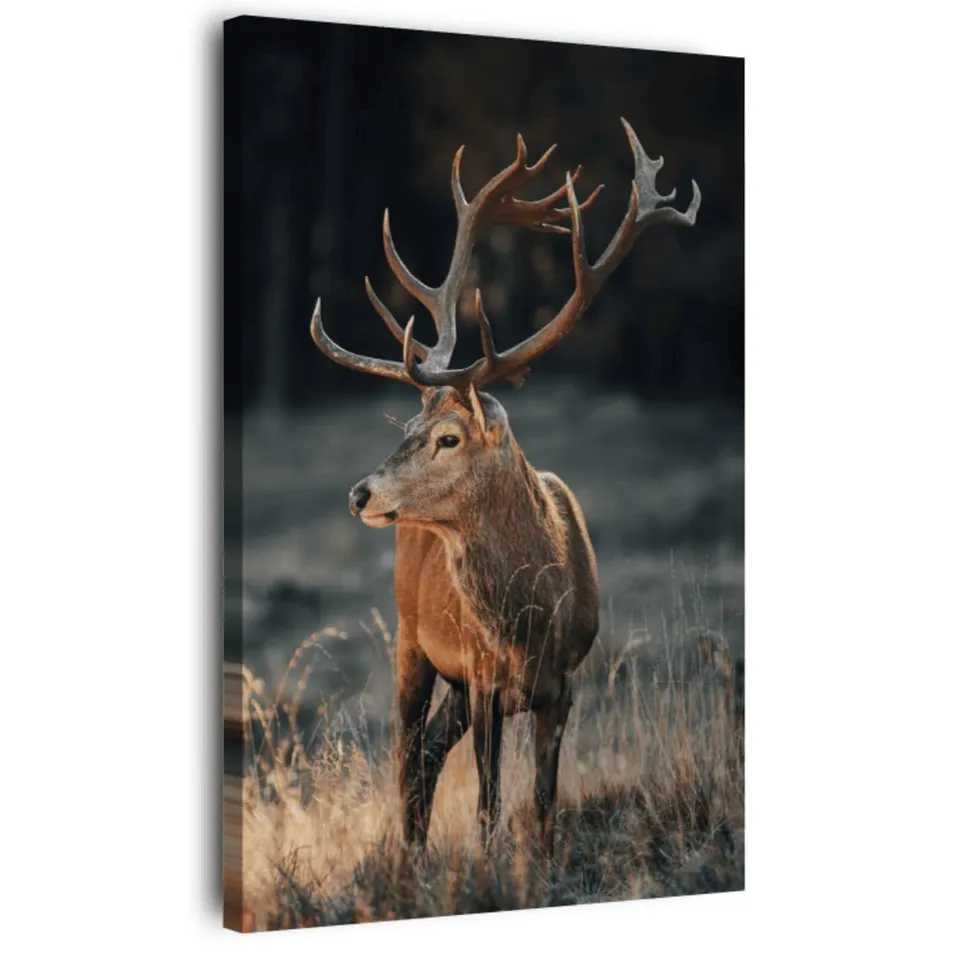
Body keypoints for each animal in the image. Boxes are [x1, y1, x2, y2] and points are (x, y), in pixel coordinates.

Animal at [310, 119, 700, 857]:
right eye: (409, 425)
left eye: (448, 437)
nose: (359, 494)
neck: (531, 621)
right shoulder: (484, 677)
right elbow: (489, 810)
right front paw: (490, 866)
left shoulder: (566, 683)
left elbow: (542, 803)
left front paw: (540, 865)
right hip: (410, 641)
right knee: (406, 757)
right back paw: (409, 858)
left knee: (426, 758)